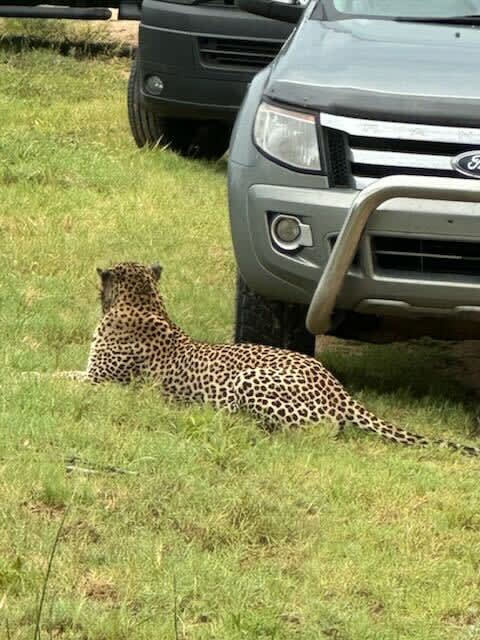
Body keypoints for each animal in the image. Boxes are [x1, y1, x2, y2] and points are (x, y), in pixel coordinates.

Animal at [62, 261, 479, 456]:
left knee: (318, 431)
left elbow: (57, 375)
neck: (144, 301)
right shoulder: (93, 375)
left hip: (248, 380)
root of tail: (335, 384)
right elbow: (62, 370)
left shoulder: (99, 380)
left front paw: (42, 380)